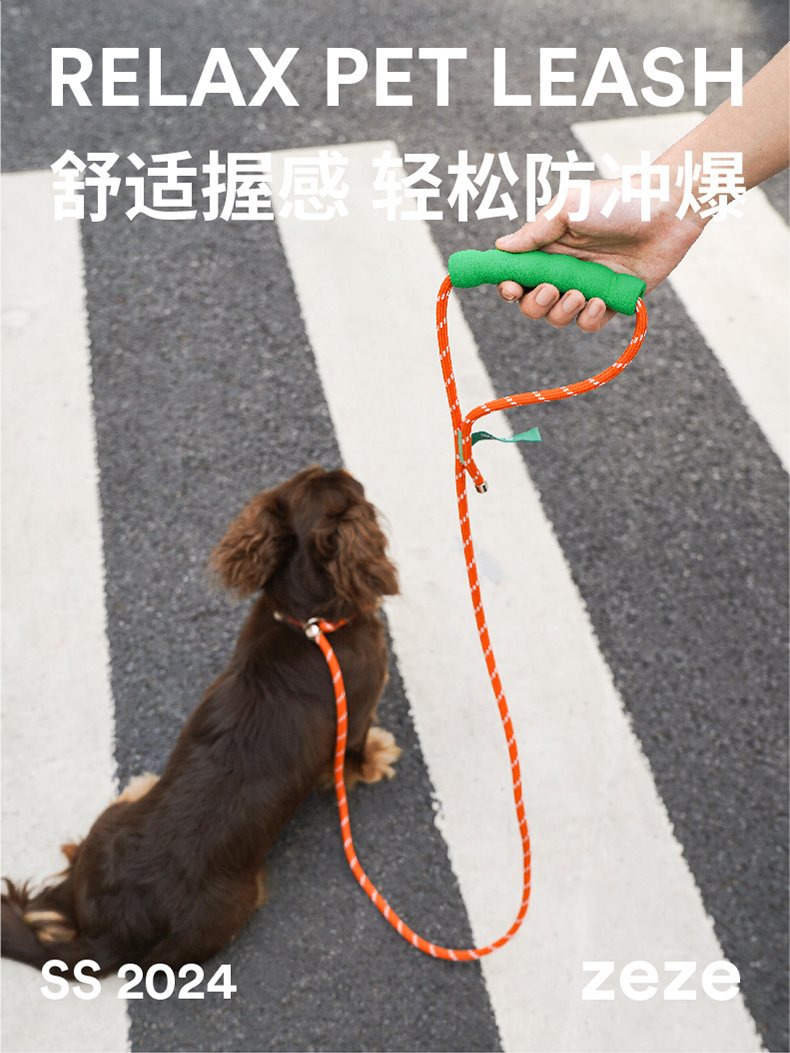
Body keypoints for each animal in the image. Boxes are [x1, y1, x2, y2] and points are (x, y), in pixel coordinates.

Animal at [2, 466, 400, 975]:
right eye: (351, 490)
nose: (342, 466)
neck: (307, 620)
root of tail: (112, 935)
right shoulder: (361, 710)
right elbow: (356, 756)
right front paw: (376, 759)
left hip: (103, 834)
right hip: (228, 913)